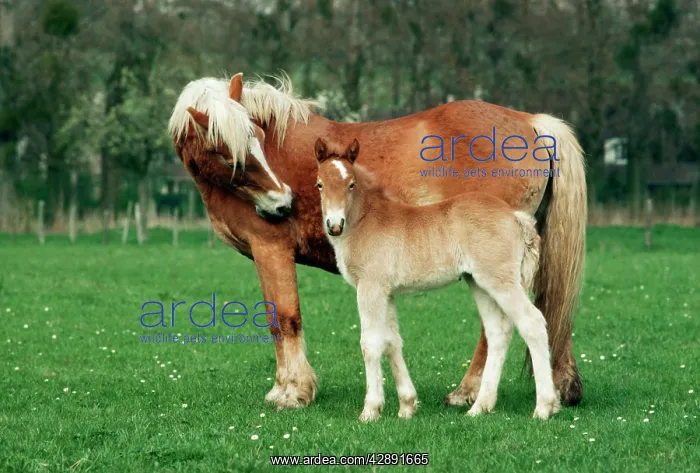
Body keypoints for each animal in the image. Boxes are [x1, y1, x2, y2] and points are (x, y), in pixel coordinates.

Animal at [314, 137, 559, 421]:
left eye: (351, 184)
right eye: (320, 184)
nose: (334, 226)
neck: (366, 221)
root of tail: (515, 217)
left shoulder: (370, 287)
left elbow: (371, 343)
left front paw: (370, 410)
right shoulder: (387, 292)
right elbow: (392, 341)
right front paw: (407, 406)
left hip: (501, 281)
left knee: (532, 323)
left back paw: (543, 407)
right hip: (479, 283)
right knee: (498, 332)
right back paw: (479, 407)